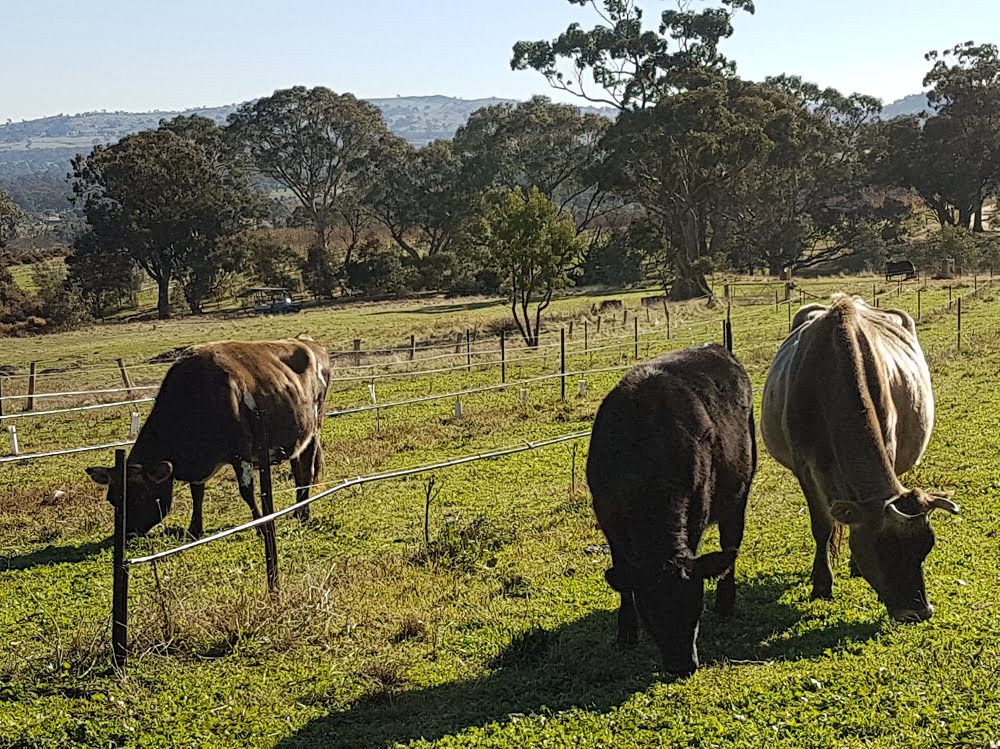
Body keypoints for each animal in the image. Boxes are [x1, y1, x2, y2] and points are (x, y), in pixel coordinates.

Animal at [84, 334, 330, 536]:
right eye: (112, 500)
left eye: (139, 497)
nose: (127, 535)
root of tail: (306, 341)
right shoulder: (198, 466)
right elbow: (197, 493)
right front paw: (195, 528)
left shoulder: (241, 453)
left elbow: (247, 492)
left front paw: (261, 526)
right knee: (298, 470)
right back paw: (297, 510)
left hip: (313, 431)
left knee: (306, 470)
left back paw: (304, 513)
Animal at [584, 342, 756, 676]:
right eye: (651, 613)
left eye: (695, 606)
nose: (683, 665)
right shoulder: (607, 517)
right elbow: (624, 574)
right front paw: (626, 632)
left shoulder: (697, 509)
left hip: (739, 494)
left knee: (730, 545)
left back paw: (726, 605)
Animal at [756, 292, 960, 620]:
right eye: (885, 549)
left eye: (926, 547)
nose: (918, 611)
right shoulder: (804, 467)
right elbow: (822, 526)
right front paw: (822, 583)